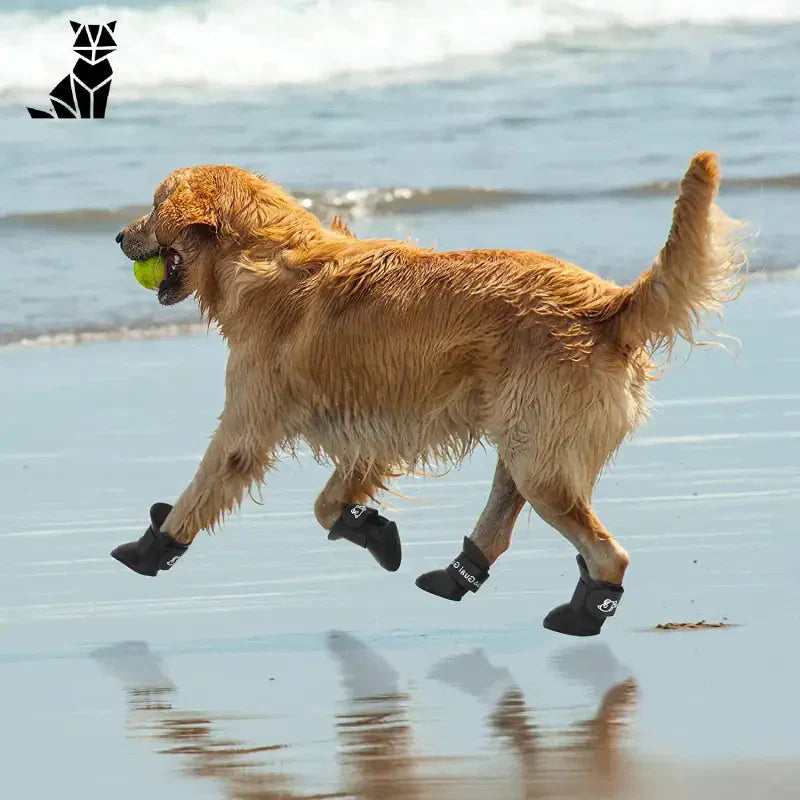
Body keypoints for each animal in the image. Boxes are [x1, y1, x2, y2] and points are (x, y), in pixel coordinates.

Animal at [114, 153, 752, 636]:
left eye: (153, 204)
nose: (119, 234)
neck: (262, 256)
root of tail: (605, 305)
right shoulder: (374, 431)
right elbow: (328, 504)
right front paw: (369, 527)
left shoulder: (247, 426)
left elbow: (203, 488)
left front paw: (154, 546)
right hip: (526, 440)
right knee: (504, 519)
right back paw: (458, 573)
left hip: (540, 458)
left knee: (606, 552)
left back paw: (582, 614)